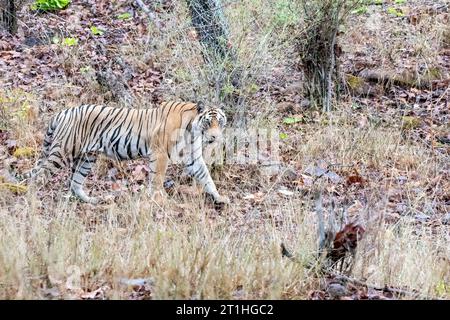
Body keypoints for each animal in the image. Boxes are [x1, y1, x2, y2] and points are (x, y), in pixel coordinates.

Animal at [29, 100, 229, 205]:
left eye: (220, 122)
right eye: (208, 122)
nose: (215, 137)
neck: (192, 131)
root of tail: (63, 112)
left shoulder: (193, 158)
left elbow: (206, 177)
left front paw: (219, 197)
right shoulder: (160, 153)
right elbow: (158, 178)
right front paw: (160, 199)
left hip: (87, 159)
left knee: (75, 183)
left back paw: (94, 200)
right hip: (61, 152)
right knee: (39, 175)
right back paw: (32, 199)